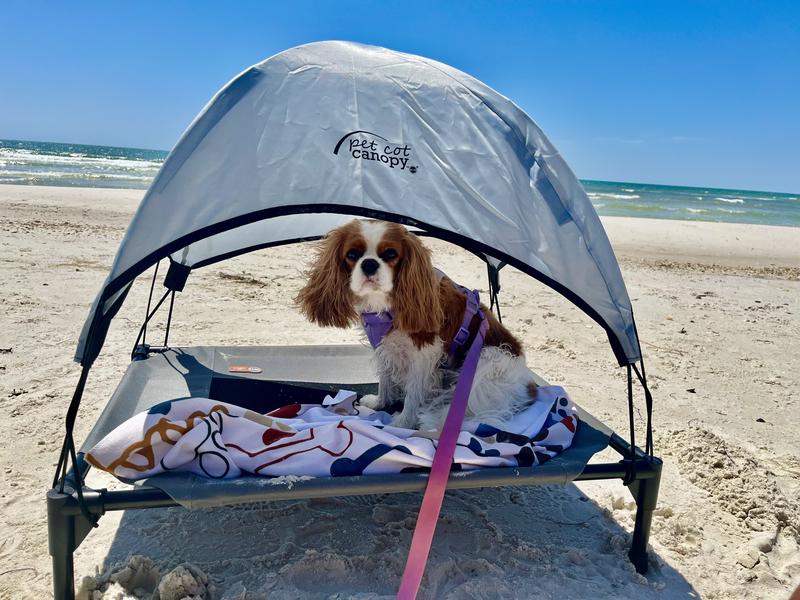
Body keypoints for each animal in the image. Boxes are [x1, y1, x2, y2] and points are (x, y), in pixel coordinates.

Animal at [294, 220, 536, 432]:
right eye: (352, 255)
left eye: (391, 254)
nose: (369, 264)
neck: (385, 305)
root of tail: (528, 387)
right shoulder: (384, 346)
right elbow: (385, 377)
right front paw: (381, 402)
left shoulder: (423, 354)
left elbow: (413, 392)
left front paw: (403, 422)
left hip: (487, 363)